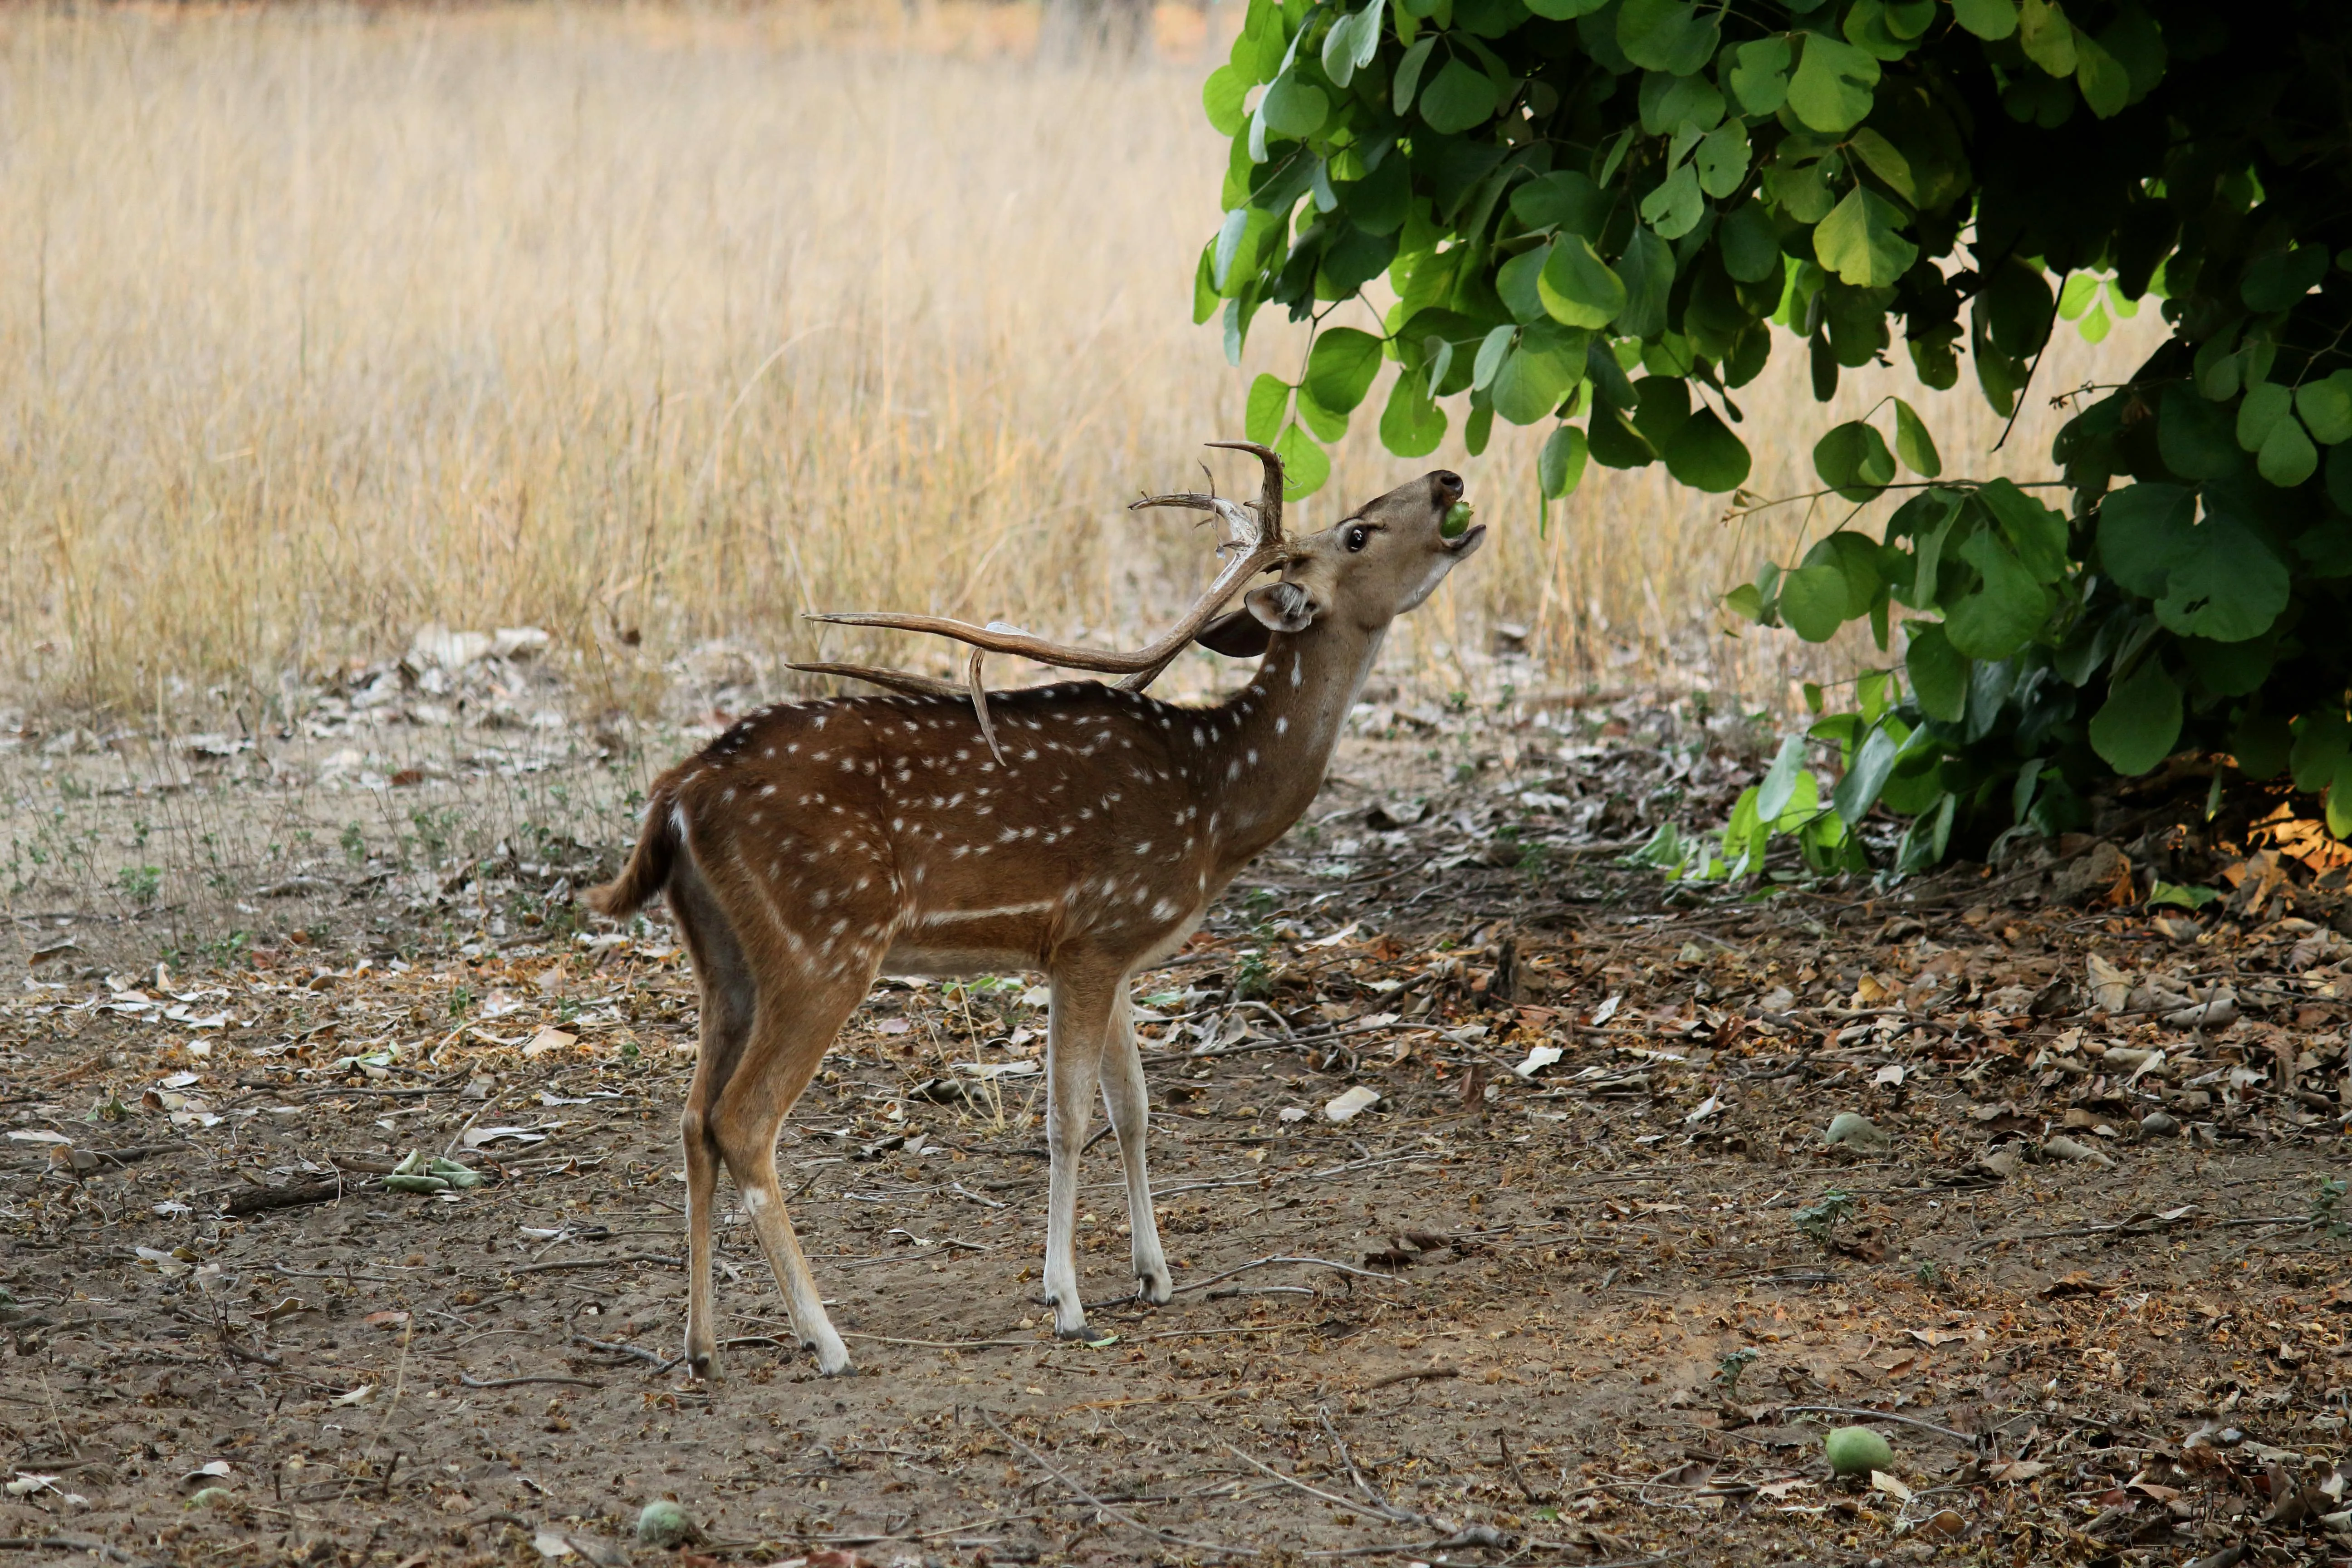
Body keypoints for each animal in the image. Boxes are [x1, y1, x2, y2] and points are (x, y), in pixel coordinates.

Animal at [586, 442, 1481, 1378]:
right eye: (1357, 532)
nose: (1449, 480)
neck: (1214, 801)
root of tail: (678, 792)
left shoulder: (1116, 946)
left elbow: (1133, 1108)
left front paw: (1153, 1276)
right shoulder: (1091, 936)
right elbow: (1066, 1118)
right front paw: (1067, 1301)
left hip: (721, 958)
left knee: (692, 1117)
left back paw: (701, 1346)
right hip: (822, 943)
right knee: (742, 1120)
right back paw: (824, 1339)